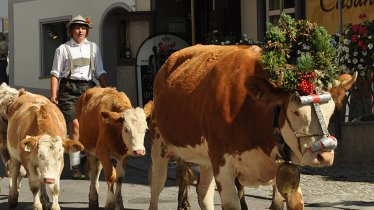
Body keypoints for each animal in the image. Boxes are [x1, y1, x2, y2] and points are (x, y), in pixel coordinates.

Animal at [148, 44, 356, 208]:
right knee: (156, 186)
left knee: (203, 193)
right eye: (295, 112)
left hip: (205, 158)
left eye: (330, 111)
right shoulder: (223, 165)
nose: (325, 155)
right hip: (159, 143)